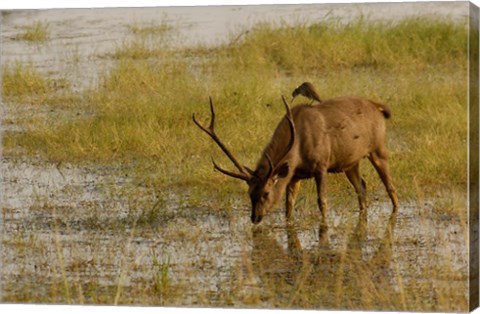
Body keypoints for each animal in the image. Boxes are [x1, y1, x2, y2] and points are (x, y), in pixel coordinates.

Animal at [193, 95, 400, 223]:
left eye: (265, 193)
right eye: (249, 193)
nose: (255, 218)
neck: (298, 149)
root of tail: (378, 107)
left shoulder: (321, 164)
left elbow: (322, 201)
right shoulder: (295, 174)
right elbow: (288, 205)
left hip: (378, 148)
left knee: (390, 185)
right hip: (351, 161)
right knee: (362, 186)